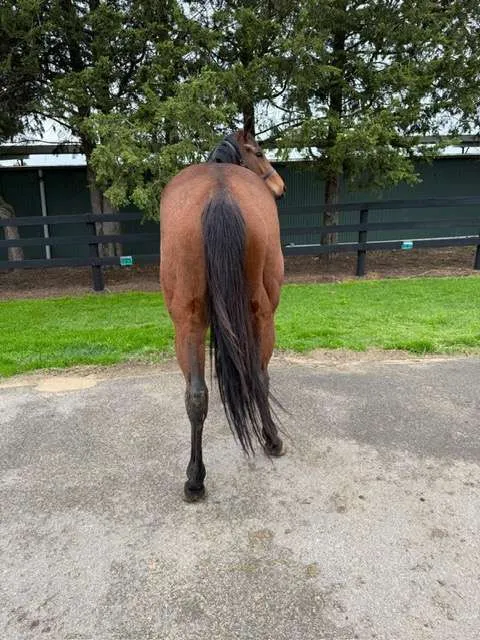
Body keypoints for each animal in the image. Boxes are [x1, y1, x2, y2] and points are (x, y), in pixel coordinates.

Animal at [160, 129, 287, 501]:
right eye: (258, 152)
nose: (280, 186)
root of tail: (219, 194)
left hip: (187, 322)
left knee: (196, 395)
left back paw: (194, 479)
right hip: (262, 315)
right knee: (259, 376)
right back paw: (272, 439)